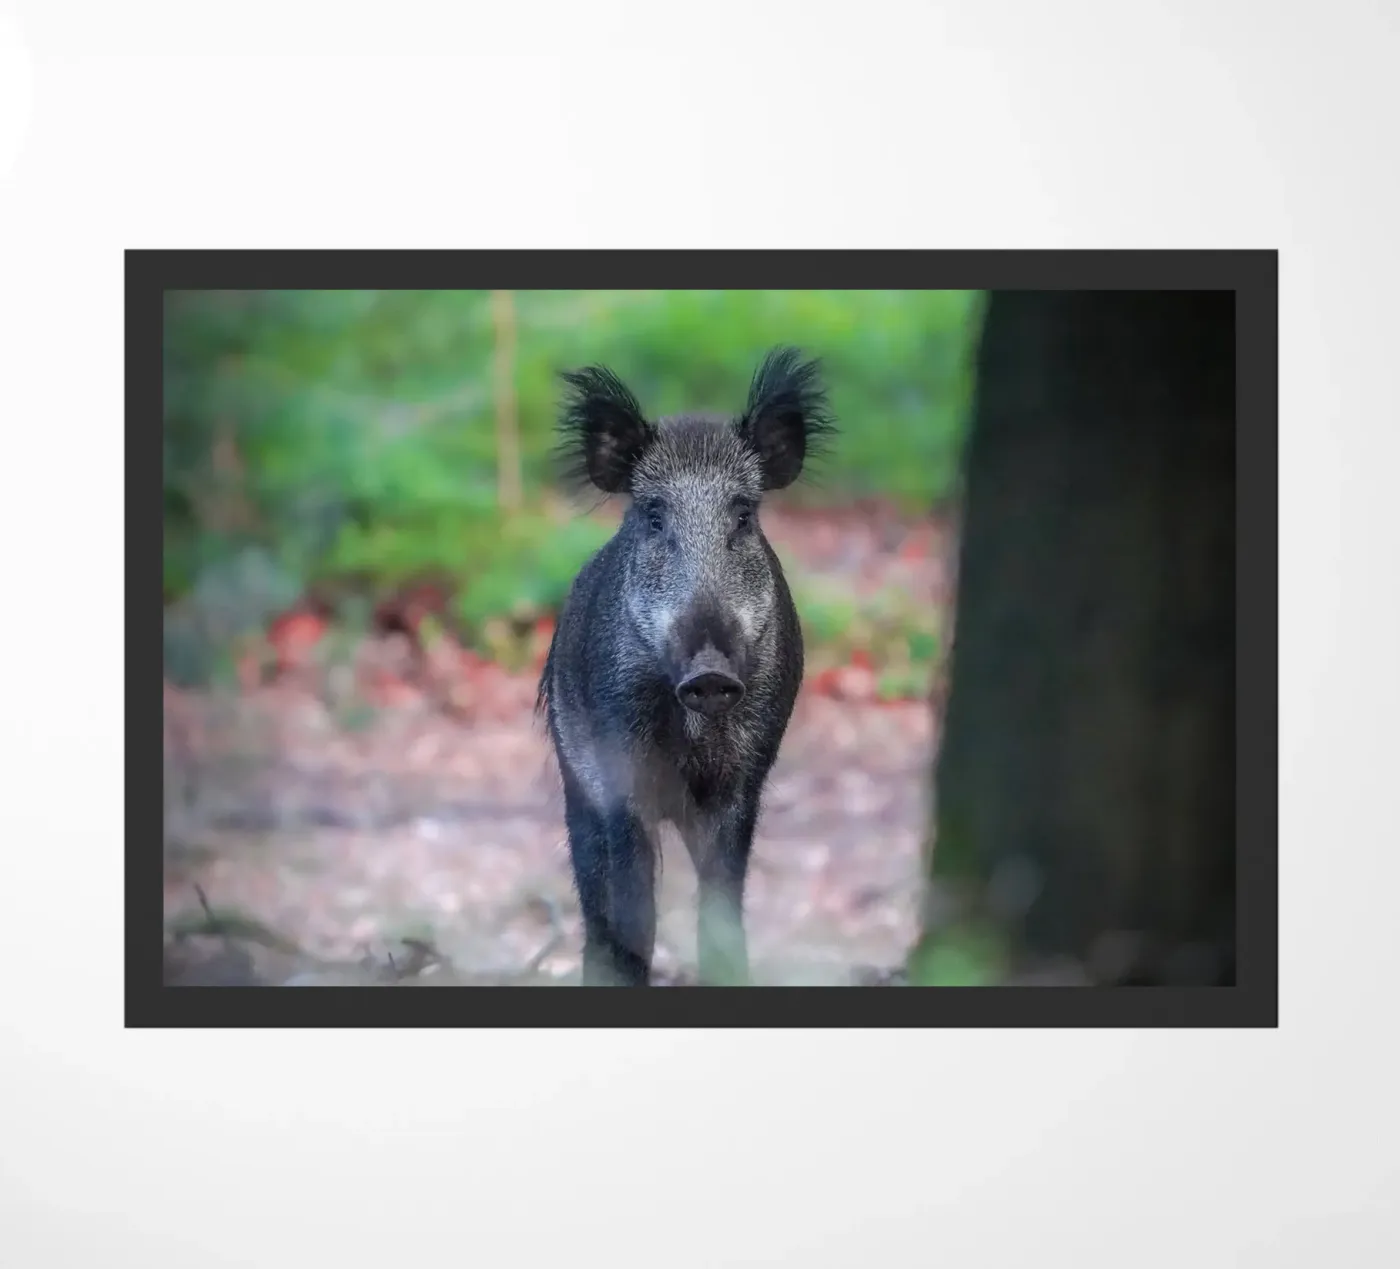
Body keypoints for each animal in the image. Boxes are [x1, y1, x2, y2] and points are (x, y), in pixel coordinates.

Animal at [537, 347, 836, 986]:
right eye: (654, 517)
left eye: (743, 516)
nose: (710, 673)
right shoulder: (616, 765)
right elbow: (632, 916)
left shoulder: (745, 778)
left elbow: (721, 915)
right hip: (576, 778)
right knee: (598, 911)